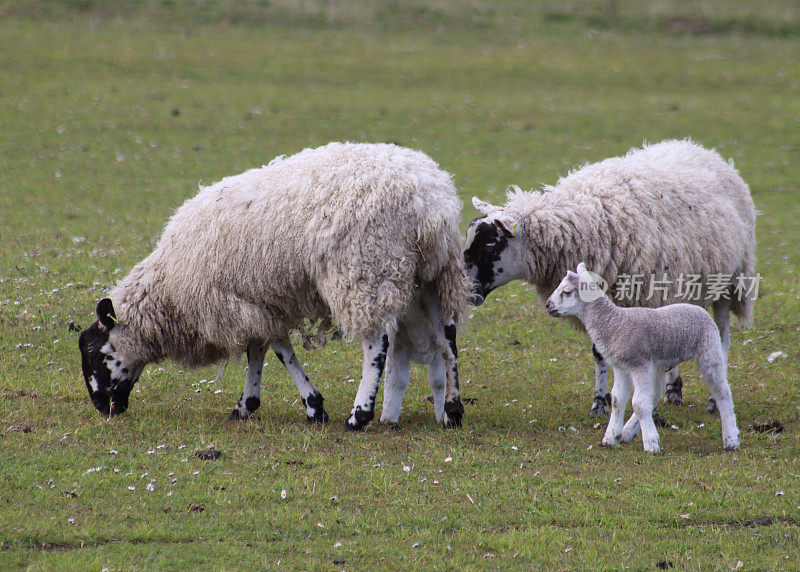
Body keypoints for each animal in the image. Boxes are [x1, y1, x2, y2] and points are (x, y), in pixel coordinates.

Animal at [78, 142, 472, 428]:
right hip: (436, 274)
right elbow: (261, 349)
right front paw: (248, 404)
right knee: (447, 335)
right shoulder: (256, 302)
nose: (101, 407)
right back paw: (452, 411)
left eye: (93, 351)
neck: (169, 291)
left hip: (365, 270)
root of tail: (430, 202)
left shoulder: (239, 303)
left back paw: (359, 415)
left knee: (377, 345)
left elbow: (279, 350)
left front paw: (312, 407)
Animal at [462, 139, 756, 416]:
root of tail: (697, 148)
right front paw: (599, 403)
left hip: (730, 282)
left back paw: (713, 400)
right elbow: (599, 352)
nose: (464, 291)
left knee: (722, 339)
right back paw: (673, 390)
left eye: (489, 245)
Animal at [548, 264, 740, 456]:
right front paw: (610, 438)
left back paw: (731, 439)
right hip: (661, 364)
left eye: (566, 292)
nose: (547, 305)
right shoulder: (622, 368)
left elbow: (639, 403)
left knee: (722, 392)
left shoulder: (639, 364)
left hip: (709, 351)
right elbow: (618, 401)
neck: (613, 324)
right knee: (654, 394)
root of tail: (701, 310)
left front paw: (651, 445)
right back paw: (628, 432)